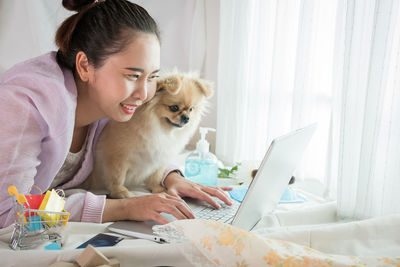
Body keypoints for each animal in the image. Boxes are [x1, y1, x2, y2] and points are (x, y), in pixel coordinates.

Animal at [82, 71, 212, 199]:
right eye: (174, 108)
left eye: (191, 109)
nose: (186, 118)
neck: (160, 129)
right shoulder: (117, 157)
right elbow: (117, 177)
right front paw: (120, 192)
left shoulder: (158, 159)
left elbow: (156, 176)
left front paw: (158, 189)